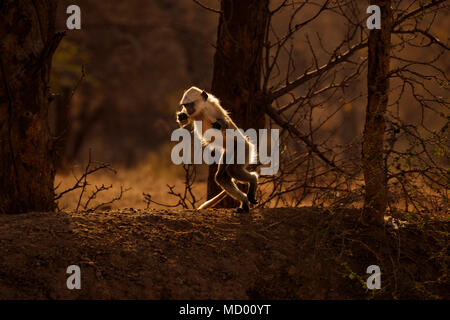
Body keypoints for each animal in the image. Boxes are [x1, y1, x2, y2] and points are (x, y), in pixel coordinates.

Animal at [177, 86, 260, 214]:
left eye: (190, 104)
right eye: (185, 105)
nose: (187, 109)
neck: (200, 113)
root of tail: (247, 141)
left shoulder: (212, 108)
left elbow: (224, 123)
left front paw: (220, 124)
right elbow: (184, 120)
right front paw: (182, 116)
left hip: (243, 148)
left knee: (233, 169)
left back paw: (253, 181)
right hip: (229, 151)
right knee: (222, 177)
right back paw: (245, 203)